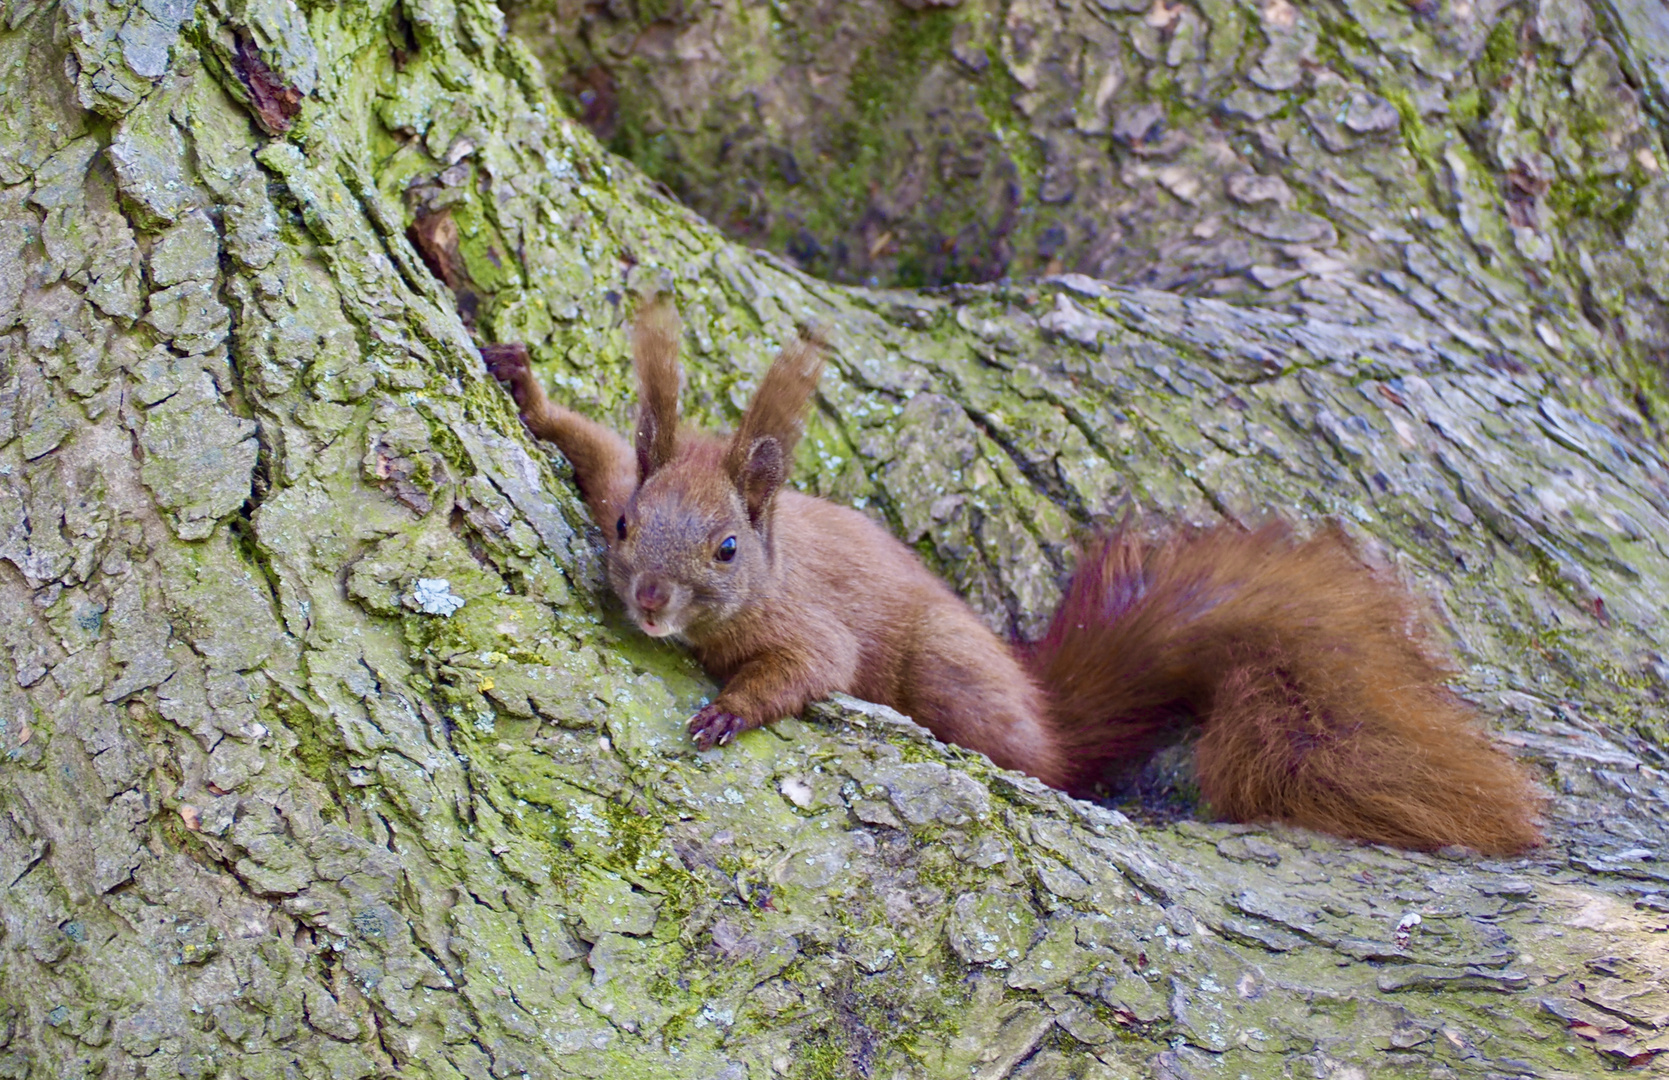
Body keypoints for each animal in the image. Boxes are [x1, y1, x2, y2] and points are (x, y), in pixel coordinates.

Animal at [480, 302, 1535, 854]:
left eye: (727, 550)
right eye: (627, 525)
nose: (651, 604)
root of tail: (1044, 709)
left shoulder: (806, 621)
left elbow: (811, 668)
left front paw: (728, 711)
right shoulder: (616, 475)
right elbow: (590, 445)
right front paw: (520, 383)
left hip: (951, 671)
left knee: (1032, 760)